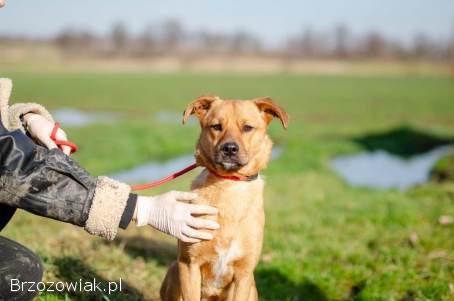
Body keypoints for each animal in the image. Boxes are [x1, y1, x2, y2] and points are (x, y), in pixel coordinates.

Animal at [160, 95, 288, 298]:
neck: (229, 185)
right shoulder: (189, 264)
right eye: (216, 126)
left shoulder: (244, 274)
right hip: (174, 270)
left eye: (247, 127)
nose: (229, 148)